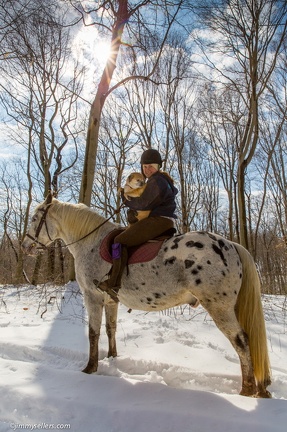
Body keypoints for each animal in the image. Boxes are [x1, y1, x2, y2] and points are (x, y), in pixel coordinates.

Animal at [22, 195, 272, 398]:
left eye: (34, 218)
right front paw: (112, 358)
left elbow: (93, 334)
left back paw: (247, 390)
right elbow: (110, 329)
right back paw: (260, 388)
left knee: (241, 341)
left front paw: (90, 368)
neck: (90, 242)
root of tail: (231, 244)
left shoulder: (92, 297)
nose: (25, 246)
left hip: (220, 307)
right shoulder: (110, 300)